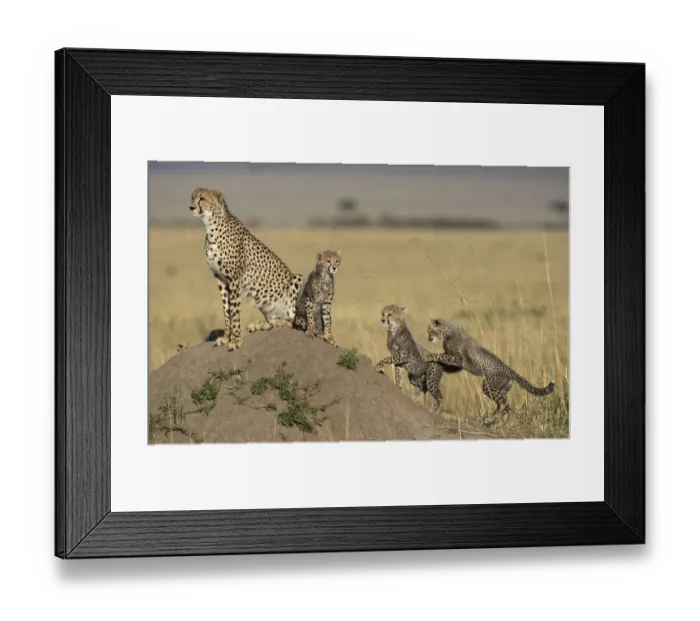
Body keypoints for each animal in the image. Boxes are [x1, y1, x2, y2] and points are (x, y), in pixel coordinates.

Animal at [190, 188, 304, 351]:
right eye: (192, 198)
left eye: (202, 199)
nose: (191, 207)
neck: (211, 226)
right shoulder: (221, 279)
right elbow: (226, 310)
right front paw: (226, 337)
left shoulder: (234, 279)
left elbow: (235, 310)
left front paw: (236, 340)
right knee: (274, 319)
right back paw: (261, 325)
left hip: (297, 280)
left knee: (294, 322)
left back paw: (279, 322)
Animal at [424, 318, 555, 425]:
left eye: (430, 331)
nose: (428, 339)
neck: (448, 330)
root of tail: (511, 371)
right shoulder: (457, 364)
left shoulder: (456, 358)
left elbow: (439, 355)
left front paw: (427, 355)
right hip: (501, 390)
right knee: (505, 406)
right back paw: (494, 420)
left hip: (487, 386)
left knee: (503, 404)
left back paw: (492, 420)